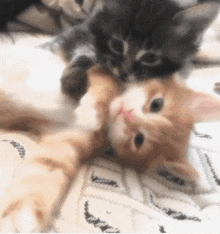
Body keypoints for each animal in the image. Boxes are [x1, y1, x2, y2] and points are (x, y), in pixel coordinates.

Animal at [0, 37, 220, 231]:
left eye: (139, 139)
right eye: (157, 104)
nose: (128, 114)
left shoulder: (68, 139)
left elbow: (45, 171)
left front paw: (19, 220)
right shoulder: (101, 71)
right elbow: (104, 87)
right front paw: (91, 110)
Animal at [46, 0, 218, 98]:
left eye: (150, 58)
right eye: (116, 45)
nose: (123, 73)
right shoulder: (79, 31)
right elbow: (84, 48)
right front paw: (75, 77)